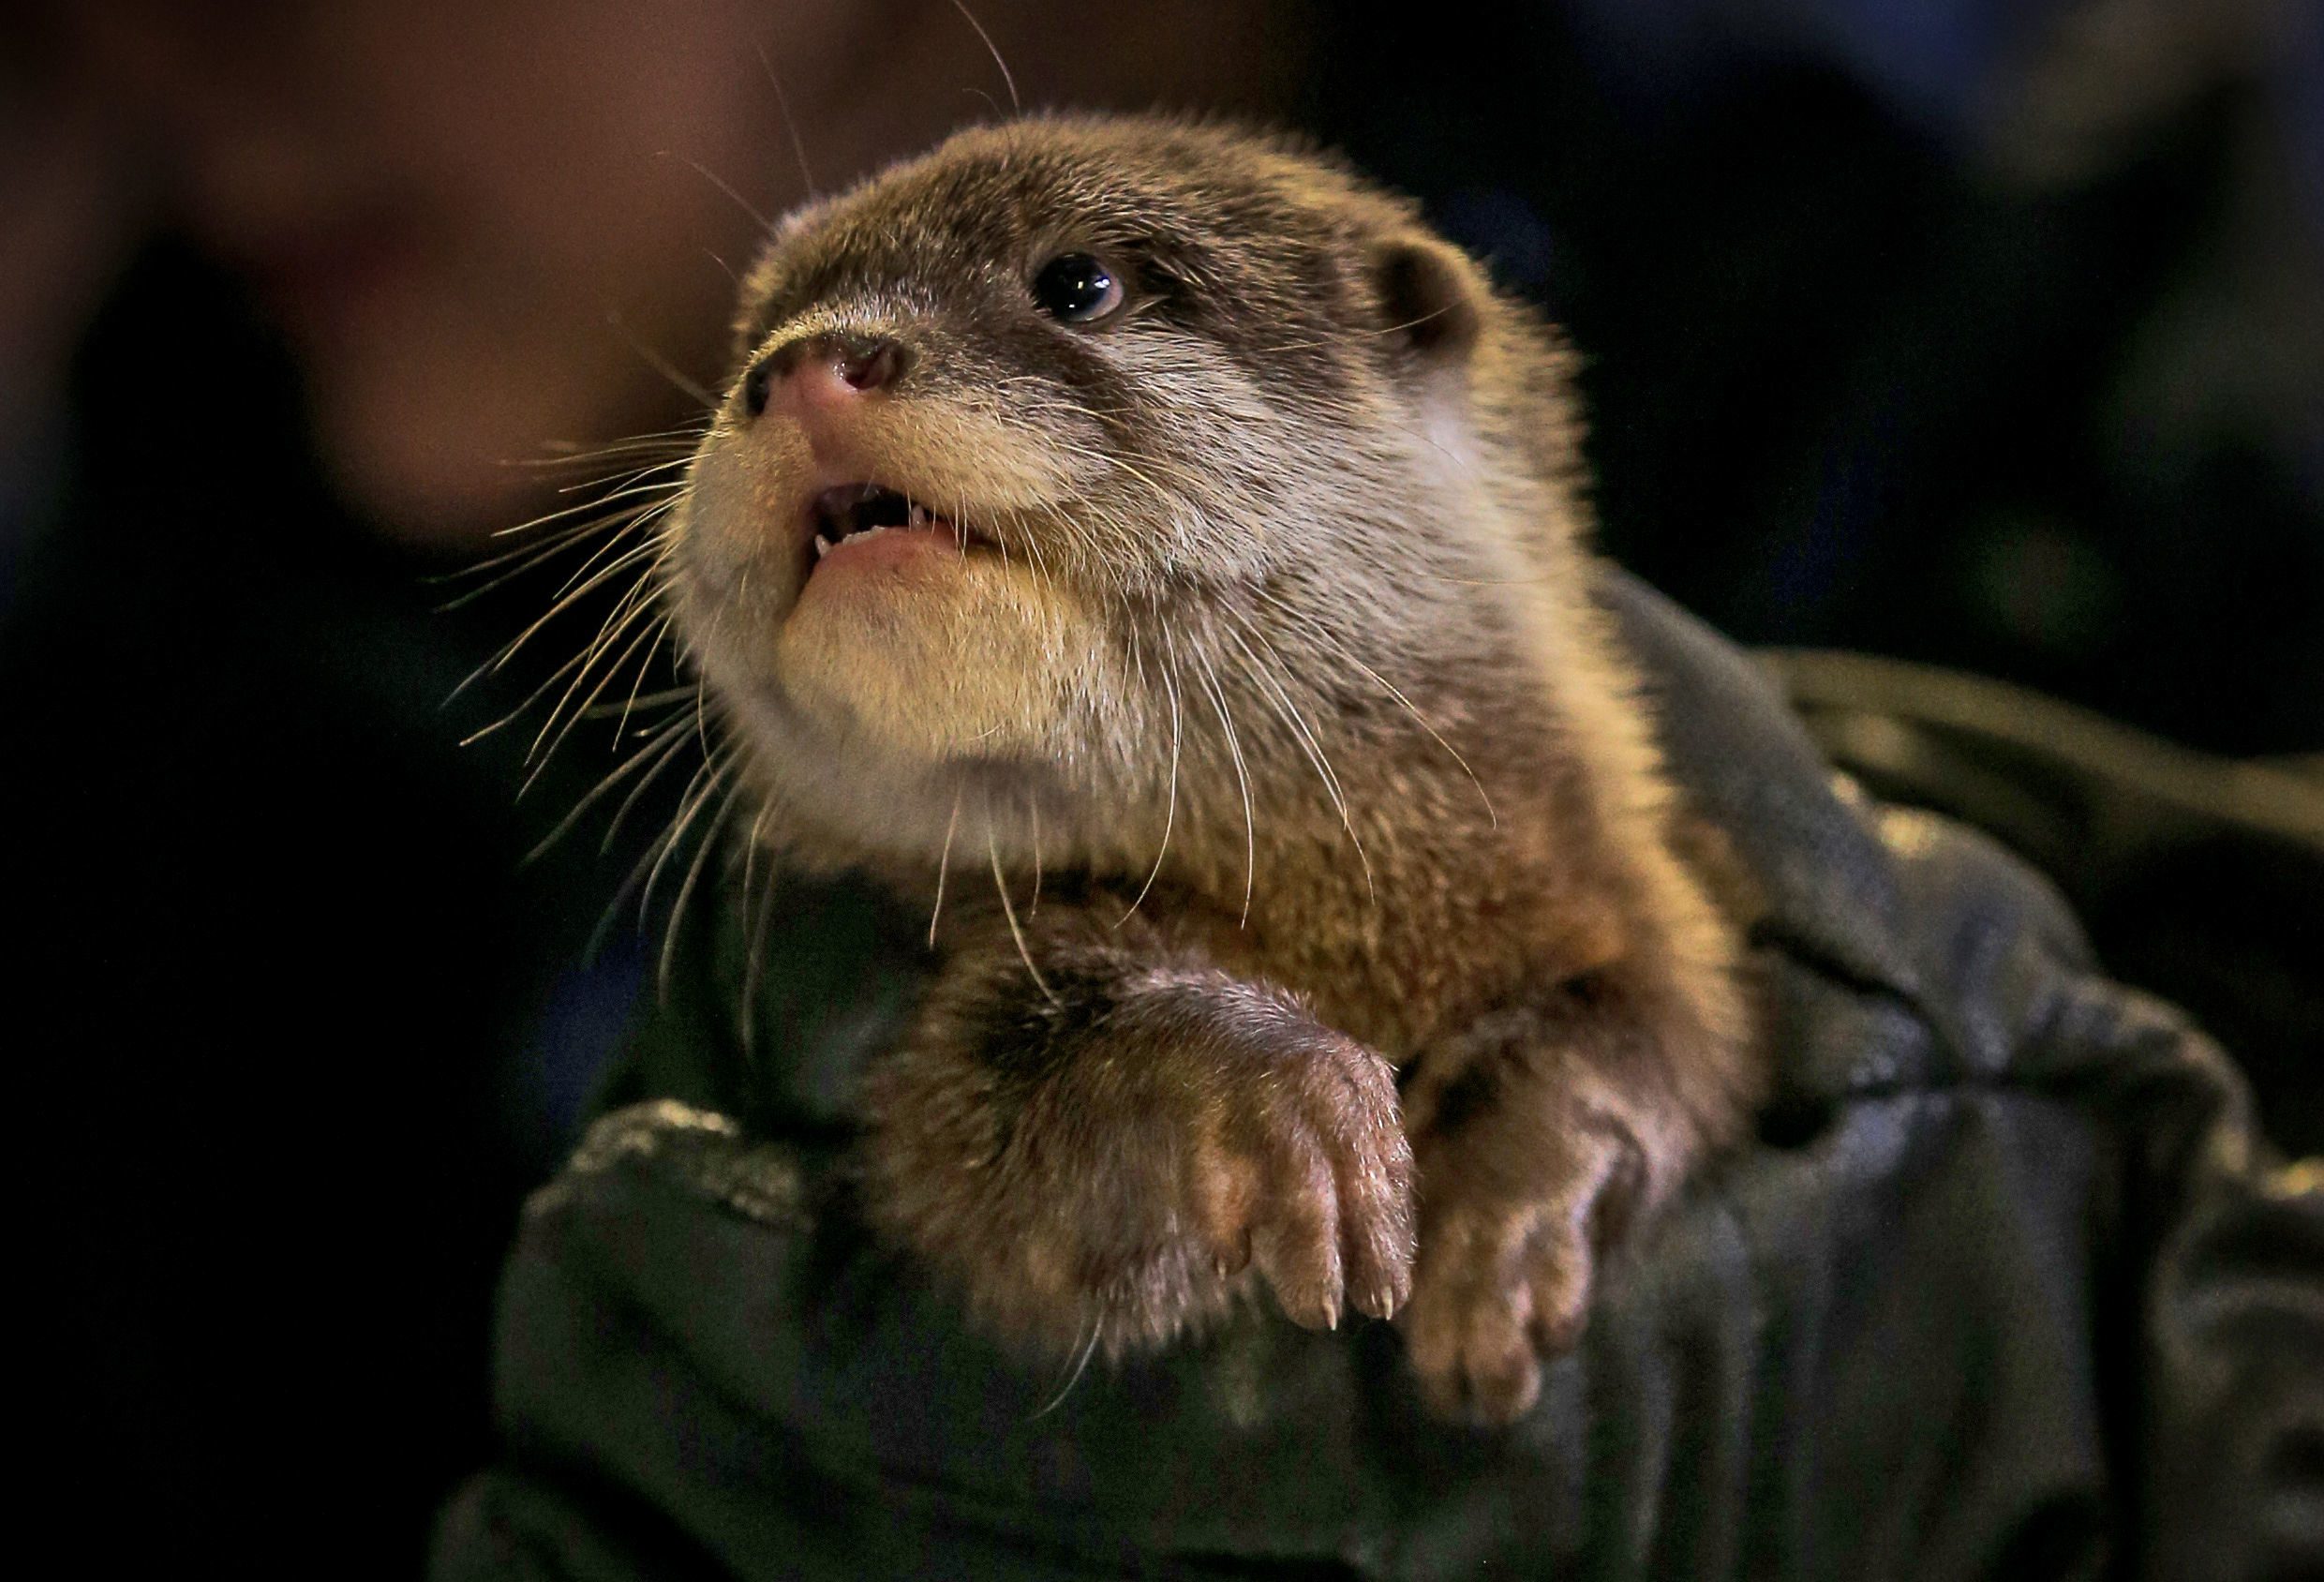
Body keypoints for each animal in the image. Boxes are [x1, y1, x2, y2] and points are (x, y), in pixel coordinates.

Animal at [655, 111, 1756, 1421]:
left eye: (1079, 284)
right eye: (758, 331)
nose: (804, 362)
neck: (1341, 914)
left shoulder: (1617, 872)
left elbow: (1649, 1032)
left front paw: (1503, 1232)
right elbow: (987, 1159)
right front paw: (1267, 1090)